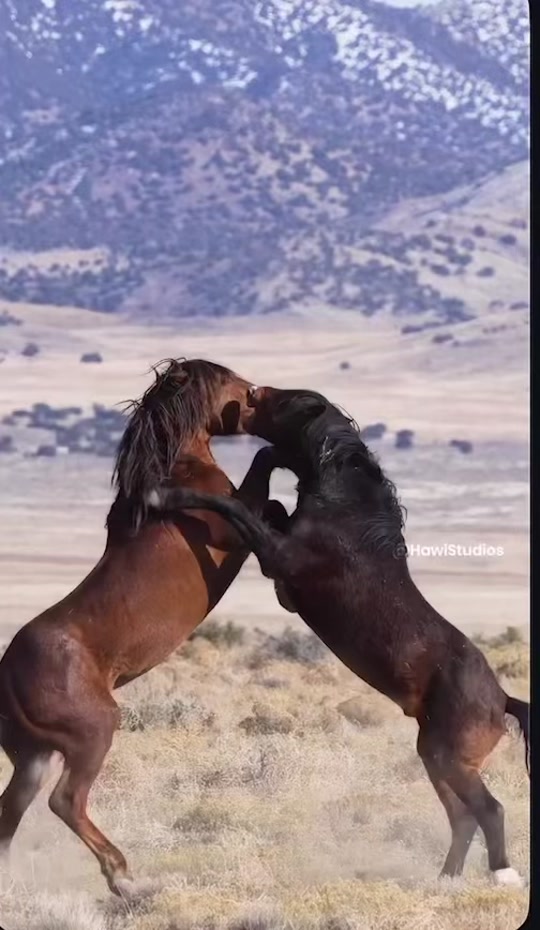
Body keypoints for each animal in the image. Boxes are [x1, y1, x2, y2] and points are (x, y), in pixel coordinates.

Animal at [0, 359, 283, 896]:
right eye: (229, 378)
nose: (260, 392)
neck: (177, 467)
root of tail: (6, 675)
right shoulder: (230, 531)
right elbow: (256, 493)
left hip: (32, 755)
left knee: (10, 812)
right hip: (94, 732)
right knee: (65, 801)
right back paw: (125, 878)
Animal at [148, 384, 530, 887]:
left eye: (284, 400)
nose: (251, 392)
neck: (345, 507)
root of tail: (503, 699)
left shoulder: (279, 554)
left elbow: (236, 509)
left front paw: (164, 495)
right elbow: (267, 510)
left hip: (449, 757)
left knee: (490, 810)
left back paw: (503, 875)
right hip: (435, 757)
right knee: (463, 818)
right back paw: (446, 880)